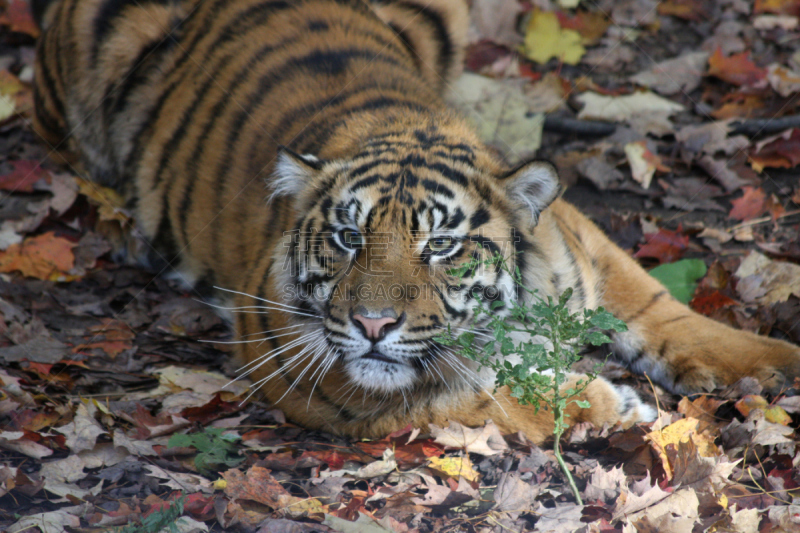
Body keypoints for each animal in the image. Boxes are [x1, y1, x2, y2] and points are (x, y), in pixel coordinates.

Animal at [31, 0, 800, 442]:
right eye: (348, 239)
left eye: (442, 246)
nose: (374, 324)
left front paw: (771, 362)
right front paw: (612, 408)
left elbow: (657, 302)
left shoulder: (582, 237)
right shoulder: (301, 361)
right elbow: (473, 393)